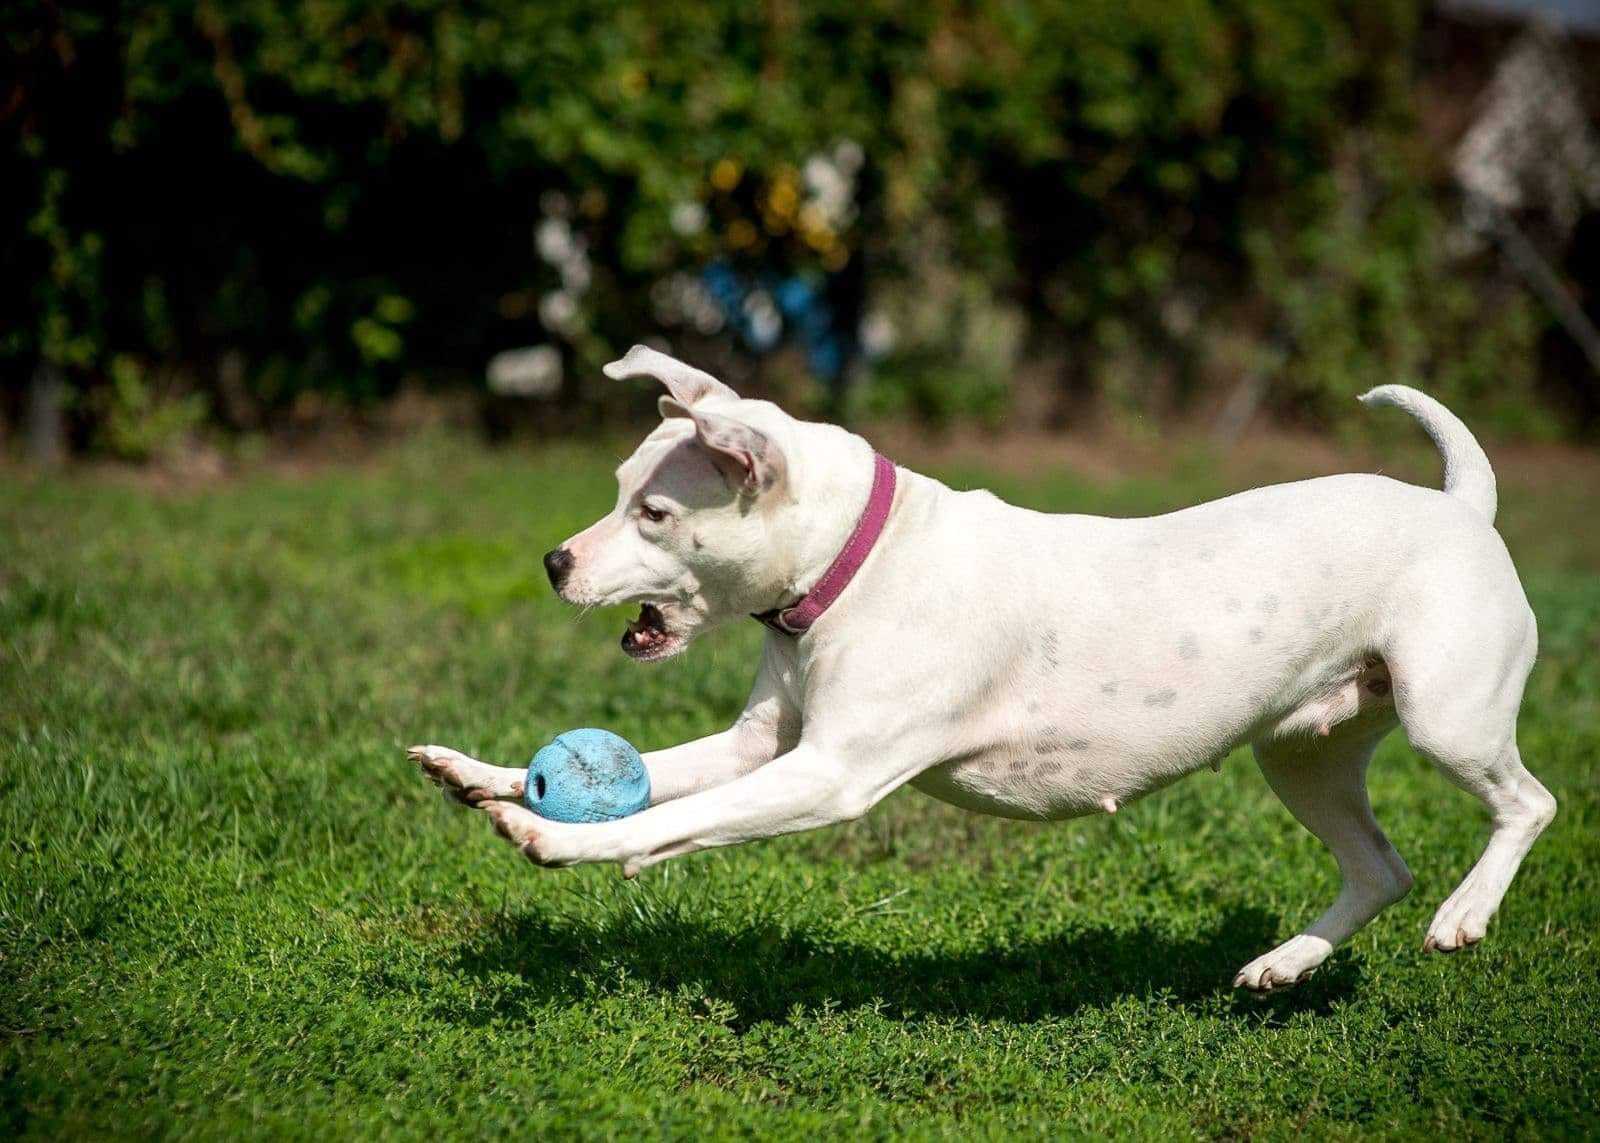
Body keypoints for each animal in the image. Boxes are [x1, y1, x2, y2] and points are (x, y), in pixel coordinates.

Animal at [409, 345, 1548, 986]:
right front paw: (485, 780)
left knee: (1525, 805)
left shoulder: (829, 774)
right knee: (1379, 867)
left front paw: (560, 842)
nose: (554, 563)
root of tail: (1462, 505)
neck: (857, 560)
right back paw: (1284, 963)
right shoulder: (759, 745)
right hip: (1303, 753)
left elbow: (669, 820)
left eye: (652, 511)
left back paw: (1464, 915)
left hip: (1447, 715)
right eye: (615, 486)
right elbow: (661, 774)